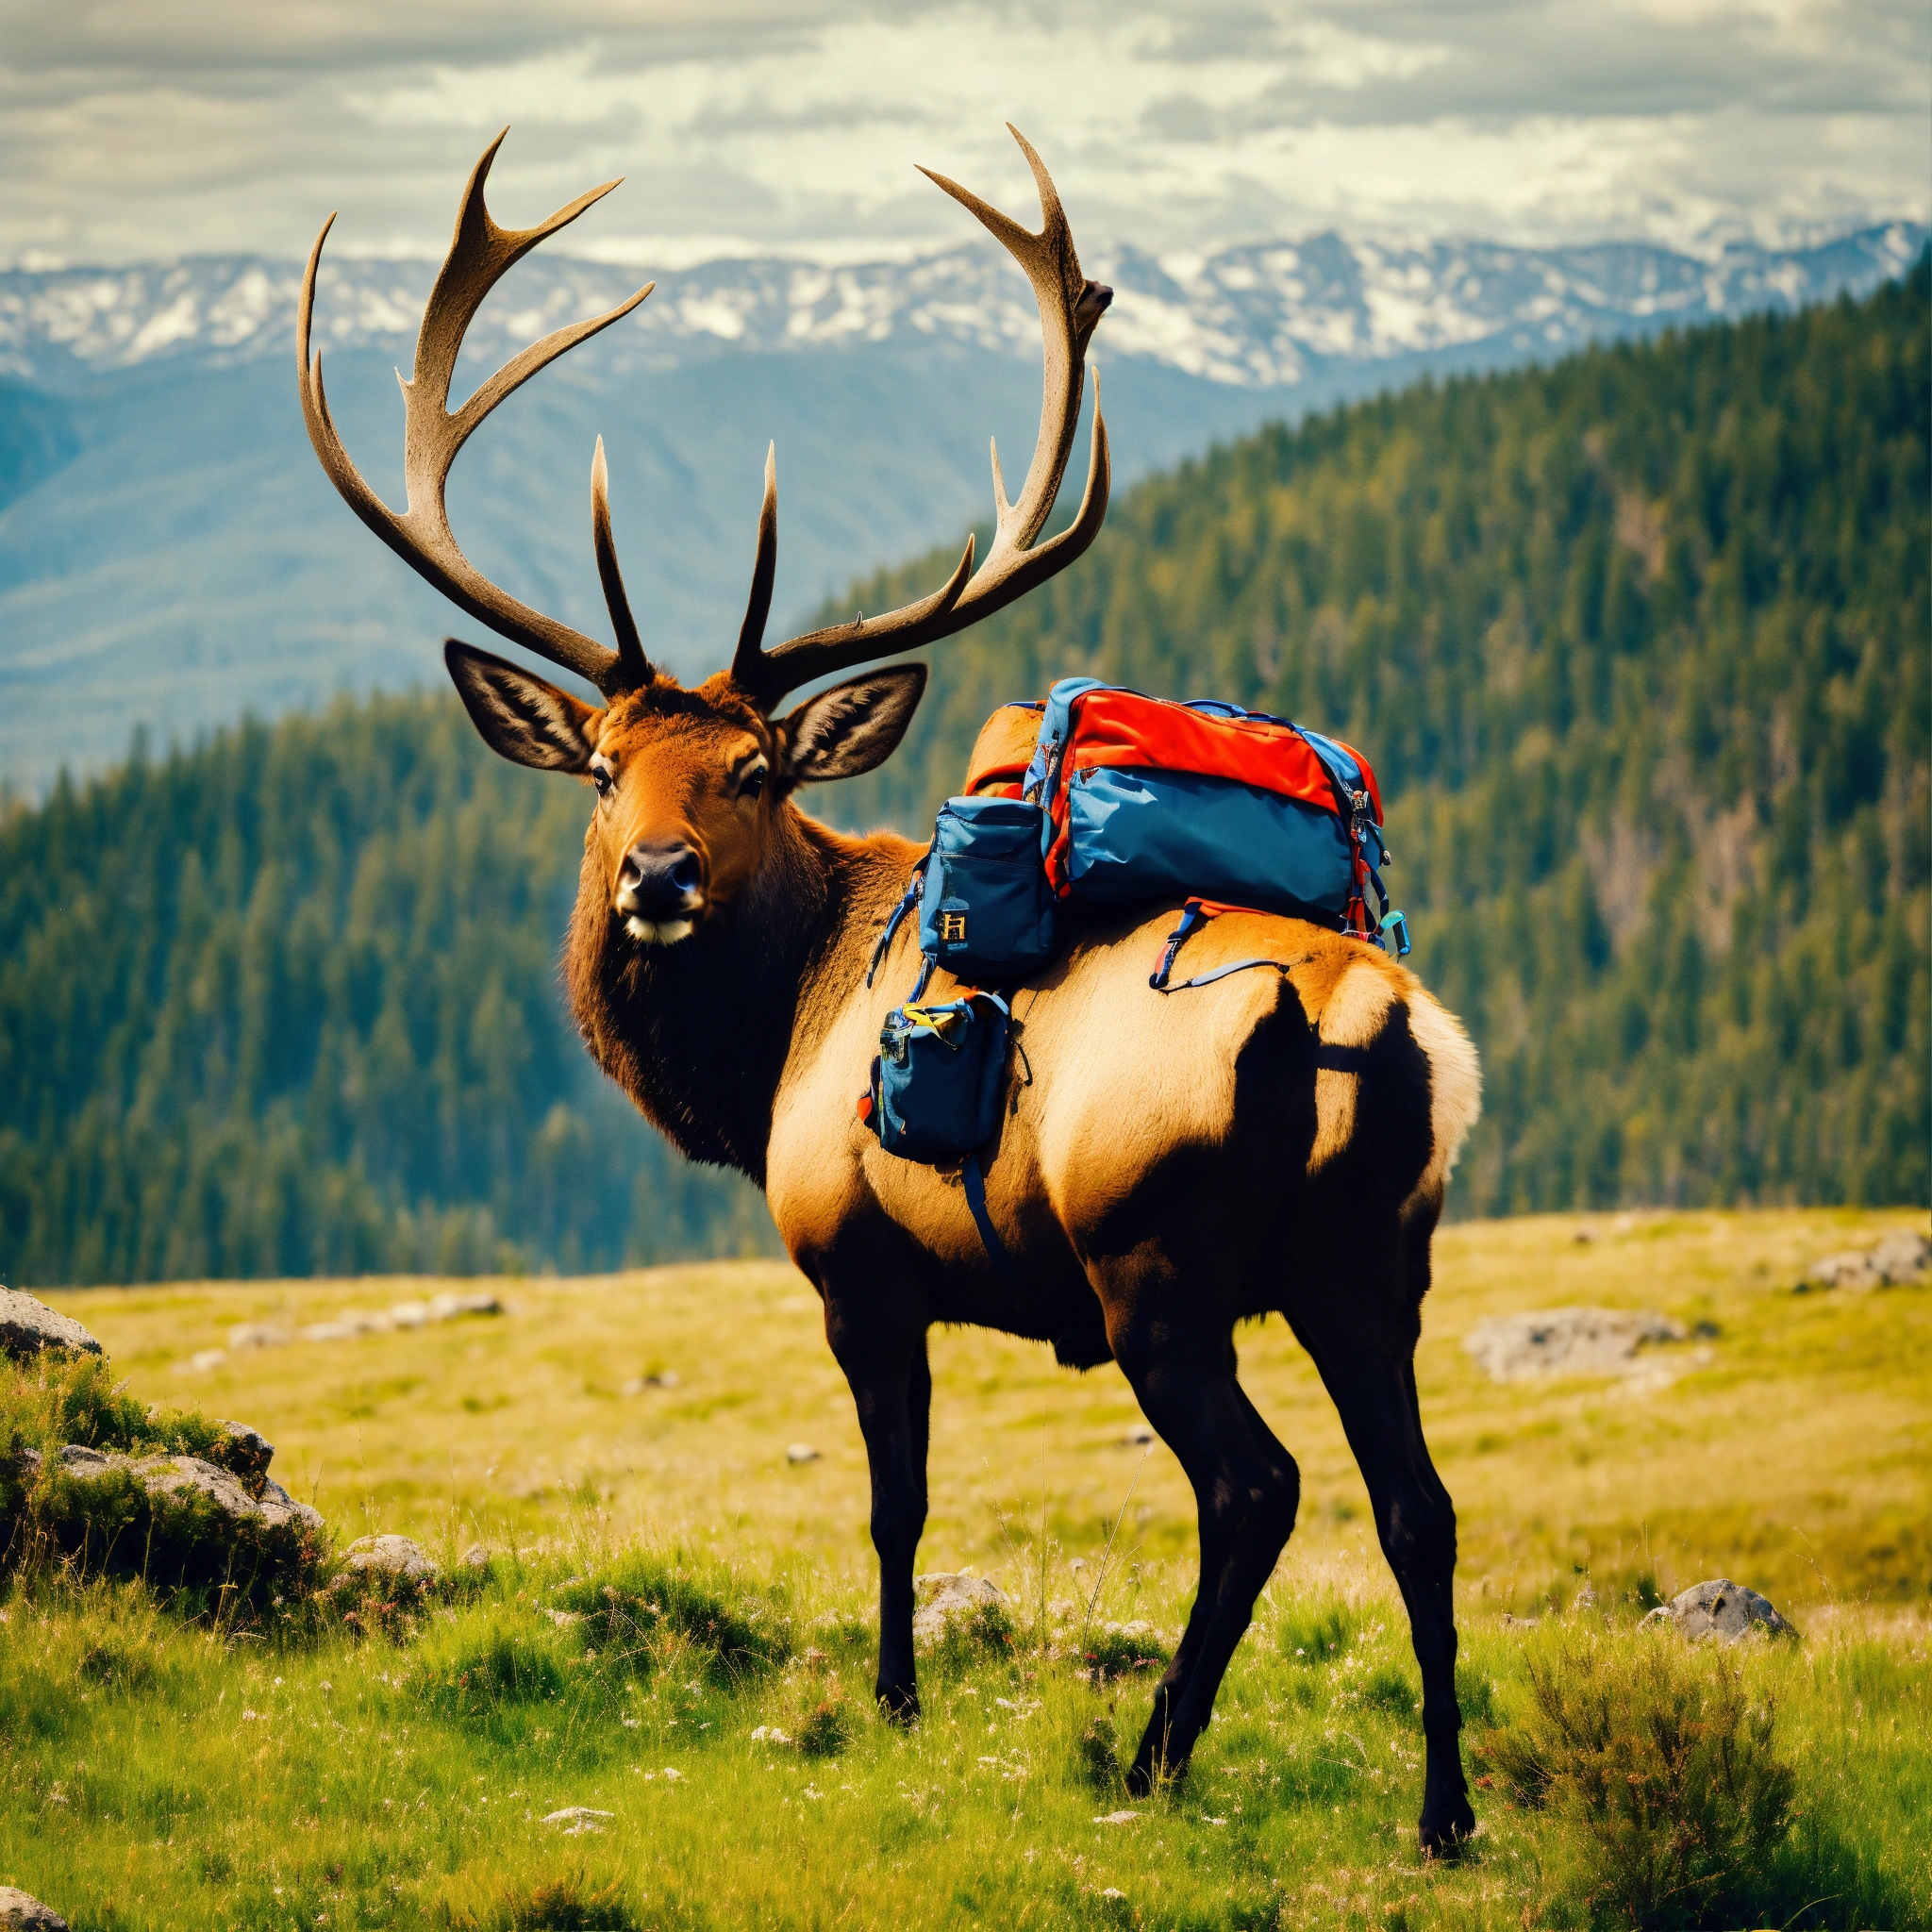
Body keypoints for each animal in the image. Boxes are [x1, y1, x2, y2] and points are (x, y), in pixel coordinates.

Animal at [298, 127, 1483, 1850]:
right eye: (598, 768)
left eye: (752, 768)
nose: (657, 877)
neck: (757, 1067)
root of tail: (1360, 1026)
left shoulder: (857, 1263)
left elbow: (894, 1501)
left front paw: (893, 1703)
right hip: (1374, 1264)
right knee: (1420, 1506)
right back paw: (1444, 1811)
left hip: (1154, 1260)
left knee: (1254, 1487)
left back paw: (1152, 1756)